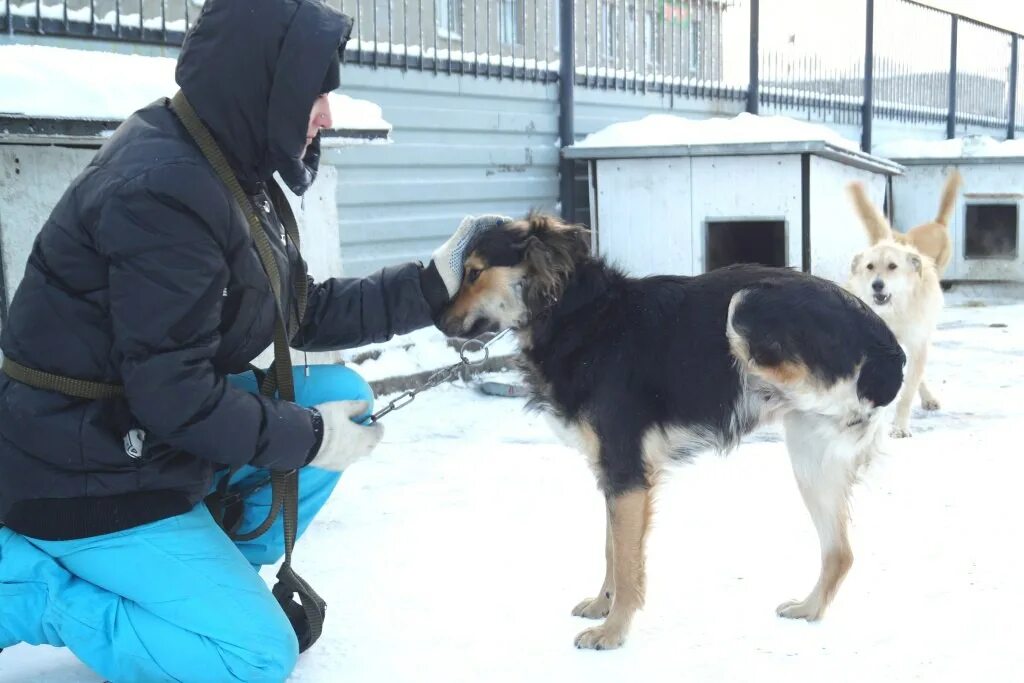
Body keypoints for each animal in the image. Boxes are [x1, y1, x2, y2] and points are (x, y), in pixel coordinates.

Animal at [440, 214, 905, 651]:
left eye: (475, 272)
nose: (440, 321)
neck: (578, 315)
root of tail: (887, 345)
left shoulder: (626, 474)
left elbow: (626, 561)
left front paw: (613, 630)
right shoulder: (614, 473)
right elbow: (612, 548)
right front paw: (602, 604)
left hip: (751, 304)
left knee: (758, 341)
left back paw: (751, 384)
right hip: (811, 458)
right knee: (840, 552)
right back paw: (809, 608)